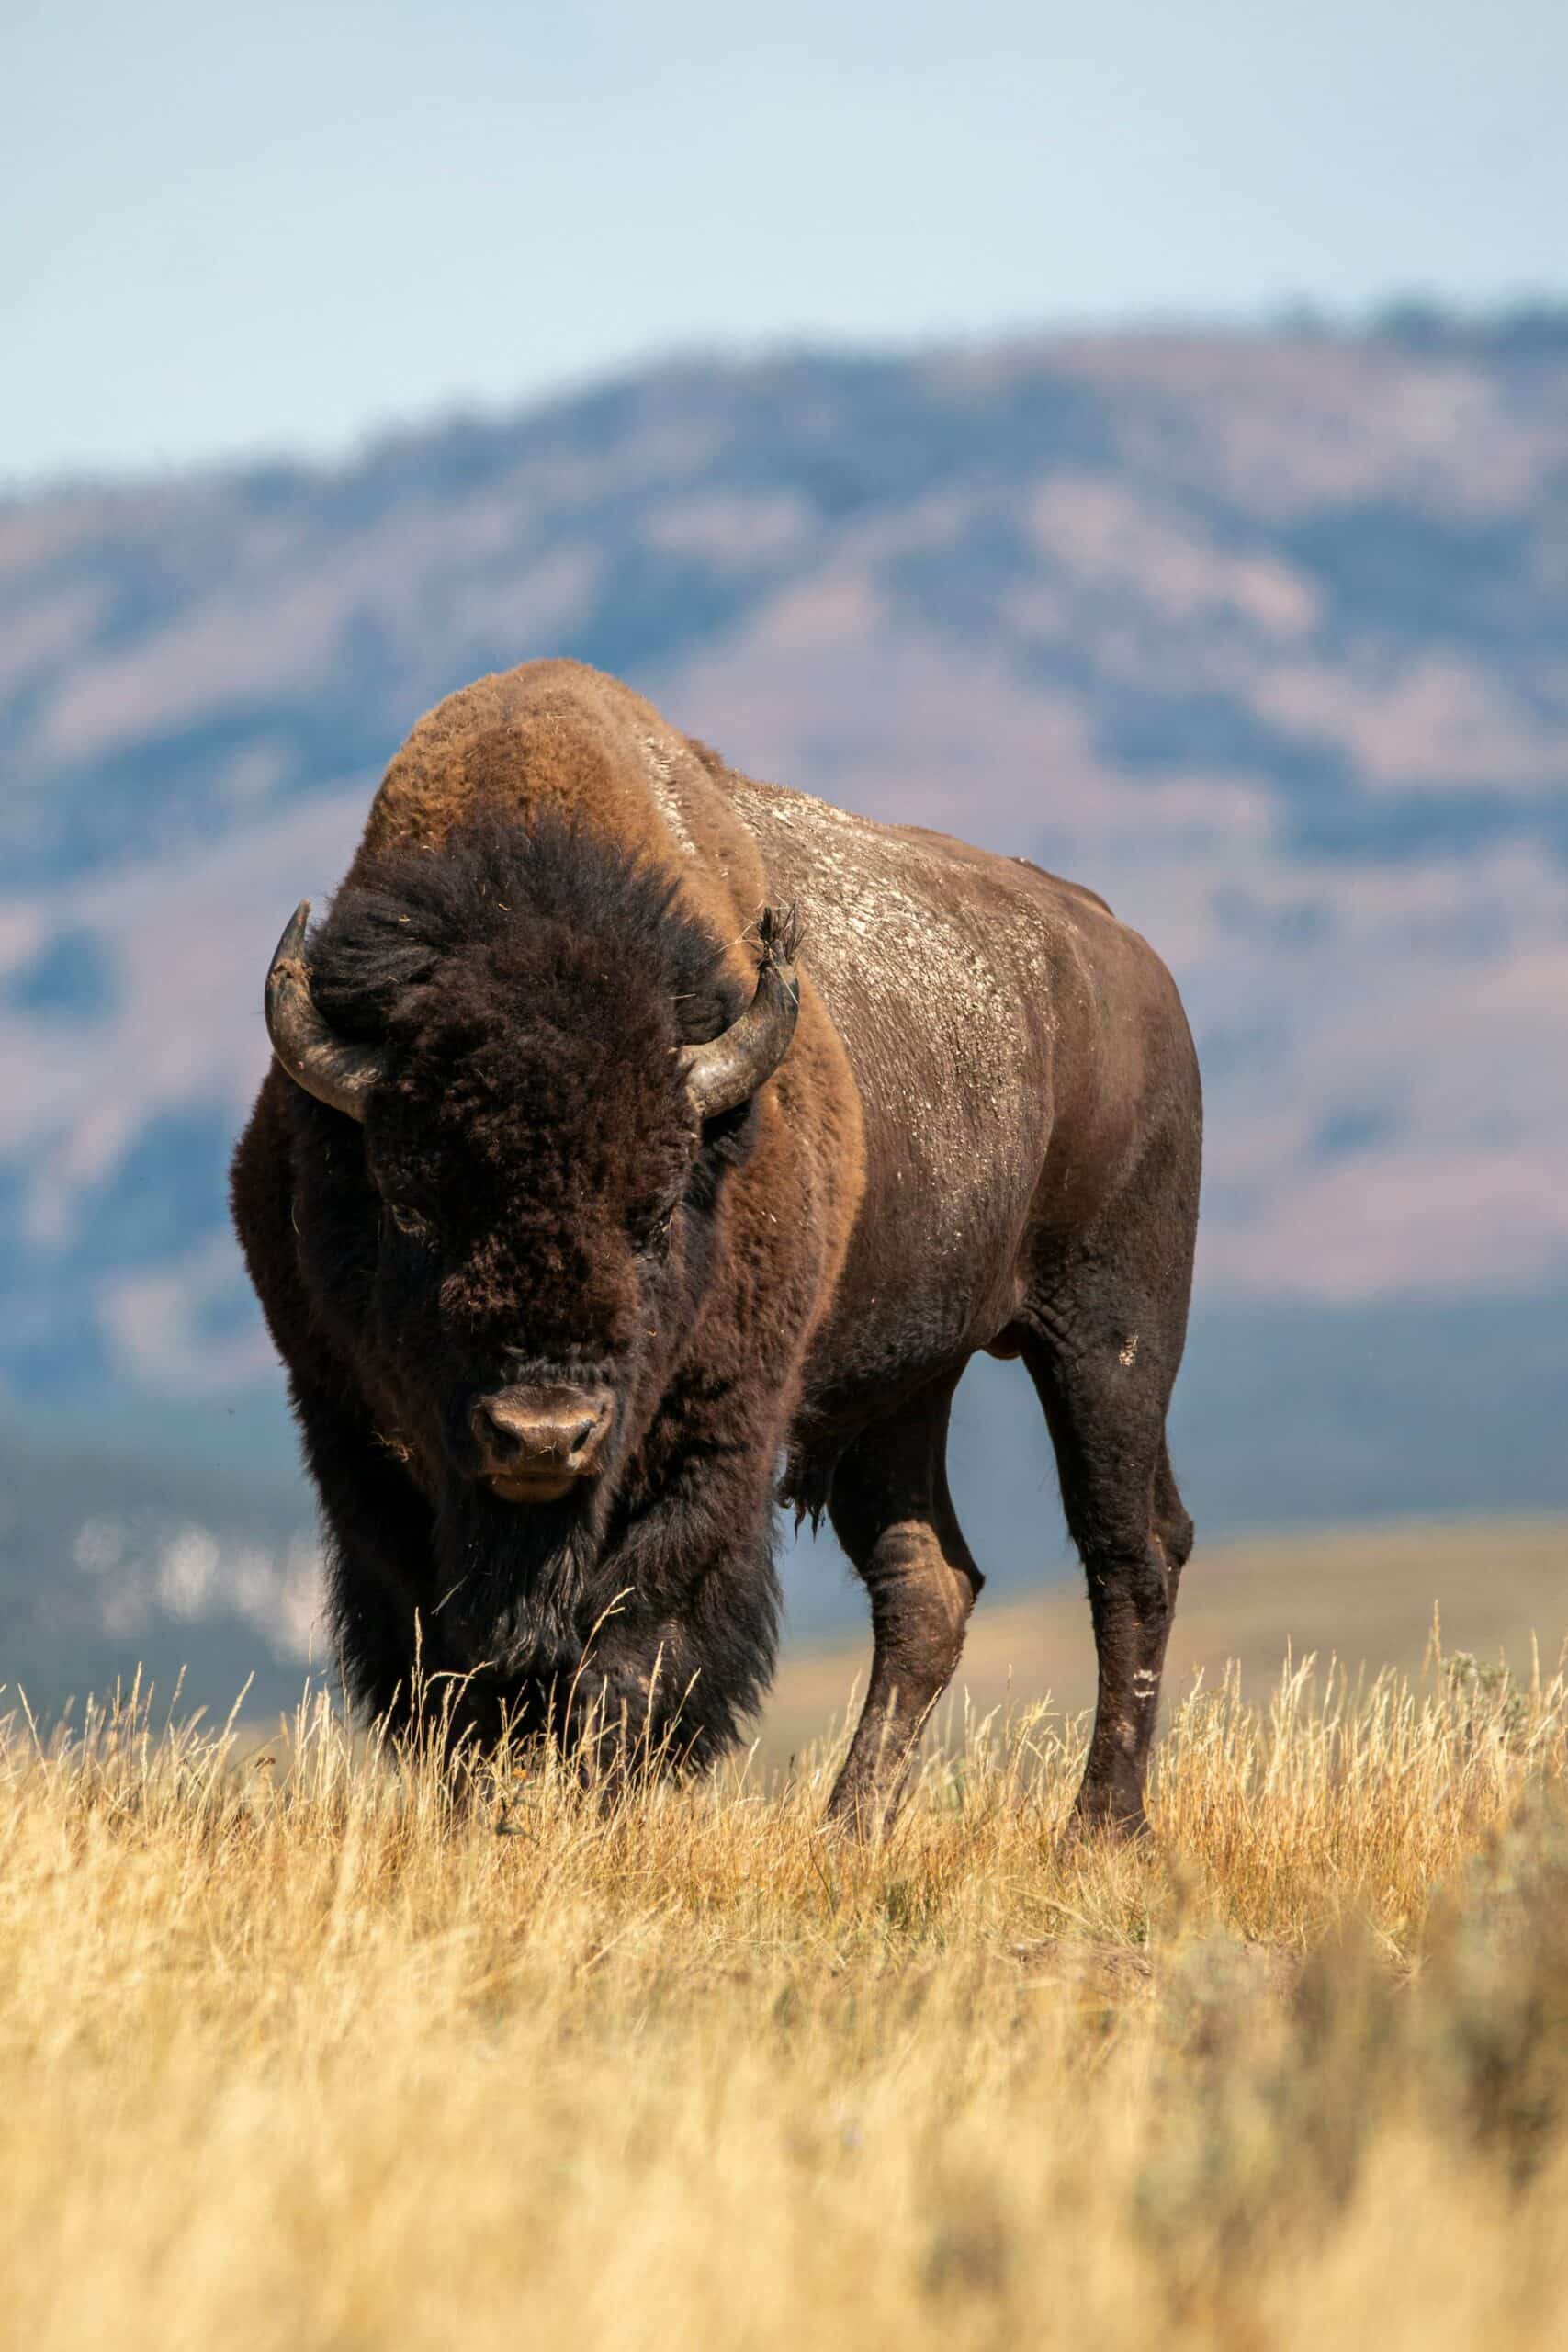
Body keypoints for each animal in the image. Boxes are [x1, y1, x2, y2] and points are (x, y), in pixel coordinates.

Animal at [232, 660, 1200, 1834]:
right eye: (411, 1208)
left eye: (653, 1211)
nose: (543, 1434)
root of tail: (1126, 956)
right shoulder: (354, 1430)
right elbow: (443, 1661)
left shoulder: (714, 1433)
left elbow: (636, 1640)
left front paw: (599, 1810)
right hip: (903, 1388)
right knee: (928, 1582)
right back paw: (848, 1828)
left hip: (1110, 1337)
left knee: (1129, 1552)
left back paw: (1098, 1828)